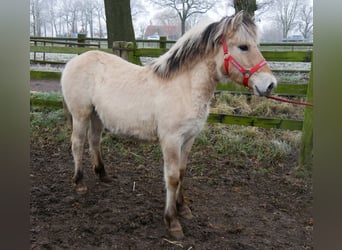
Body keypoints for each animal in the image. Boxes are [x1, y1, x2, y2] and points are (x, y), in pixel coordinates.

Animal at [60, 10, 276, 239]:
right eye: (243, 46)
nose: (270, 84)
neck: (185, 87)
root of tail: (73, 62)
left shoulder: (188, 140)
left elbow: (182, 173)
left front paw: (183, 208)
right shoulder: (171, 140)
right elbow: (172, 178)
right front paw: (172, 221)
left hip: (96, 116)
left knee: (94, 141)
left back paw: (102, 174)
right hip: (81, 114)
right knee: (78, 143)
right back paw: (79, 183)